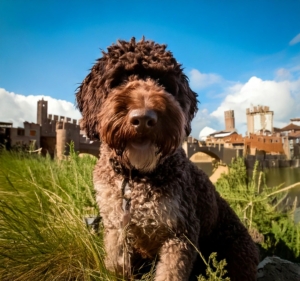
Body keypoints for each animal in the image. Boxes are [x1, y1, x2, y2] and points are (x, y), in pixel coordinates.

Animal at [76, 37, 258, 280]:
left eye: (163, 82)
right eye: (119, 79)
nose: (144, 119)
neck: (135, 177)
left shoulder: (181, 232)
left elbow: (170, 273)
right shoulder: (115, 224)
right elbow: (116, 263)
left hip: (237, 252)